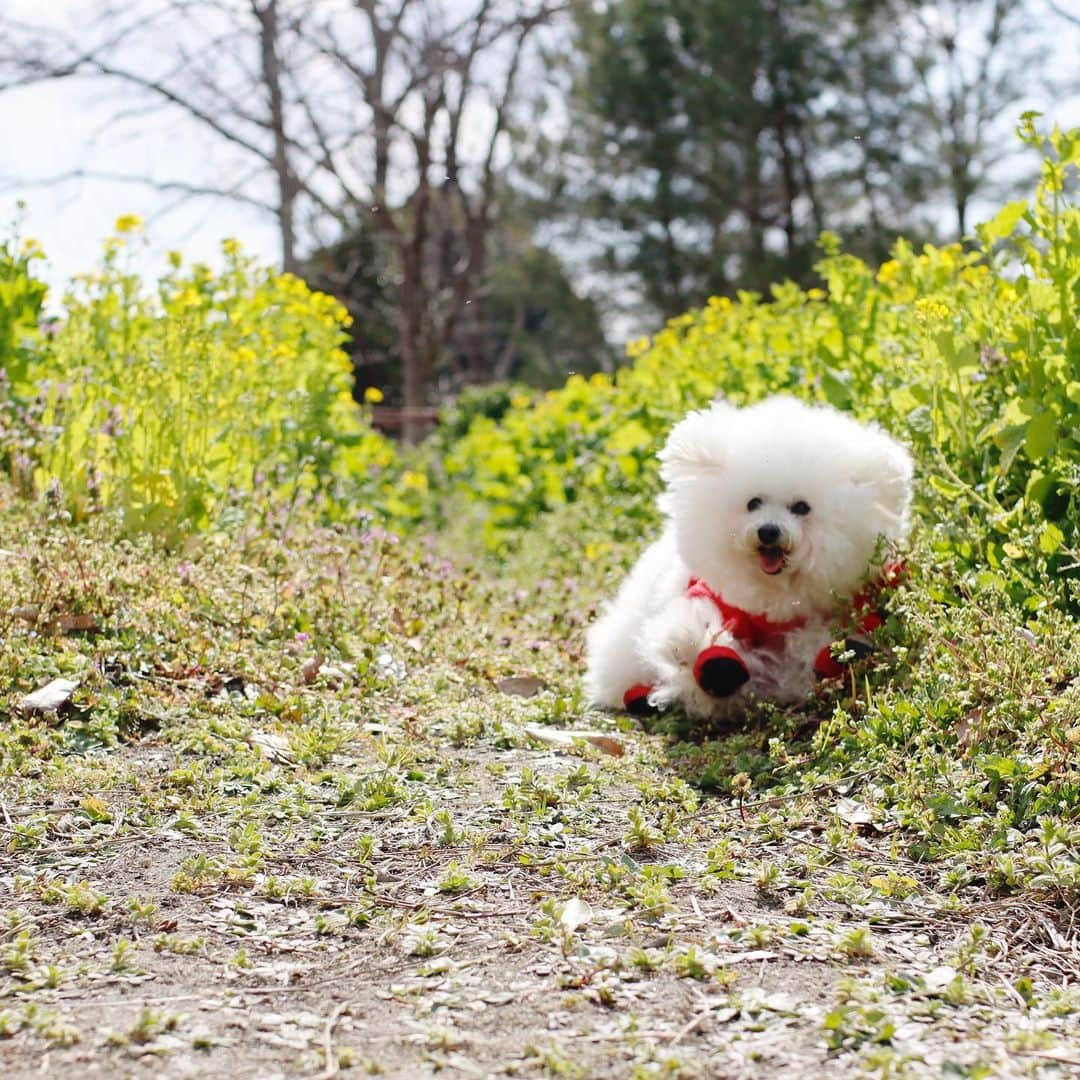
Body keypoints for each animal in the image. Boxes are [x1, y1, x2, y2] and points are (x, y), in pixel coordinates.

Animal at [587, 395, 915, 717]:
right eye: (753, 503)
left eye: (801, 507)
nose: (768, 531)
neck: (776, 591)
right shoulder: (707, 595)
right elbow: (689, 628)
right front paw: (713, 662)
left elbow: (810, 644)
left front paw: (839, 652)